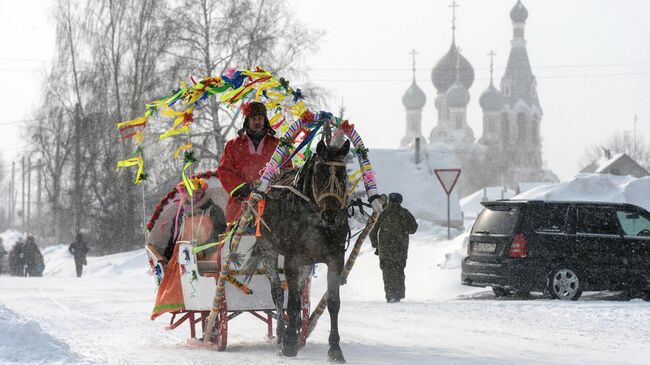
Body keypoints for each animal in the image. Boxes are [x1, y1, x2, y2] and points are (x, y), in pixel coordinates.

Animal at [243, 139, 352, 362]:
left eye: (343, 175)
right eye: (320, 174)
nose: (331, 216)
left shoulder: (335, 259)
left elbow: (333, 303)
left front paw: (335, 349)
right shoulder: (293, 258)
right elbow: (291, 302)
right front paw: (290, 343)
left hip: (307, 261)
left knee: (300, 291)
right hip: (269, 249)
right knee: (277, 292)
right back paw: (281, 335)